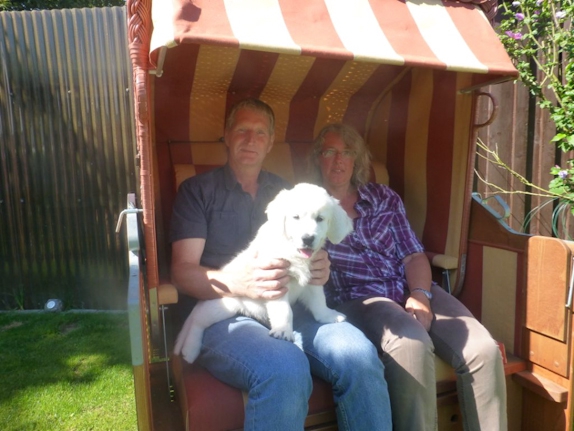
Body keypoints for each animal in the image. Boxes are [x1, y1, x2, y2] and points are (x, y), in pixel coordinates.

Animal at [174, 183, 354, 363]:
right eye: (295, 217)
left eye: (320, 219)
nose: (308, 239)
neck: (292, 252)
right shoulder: (276, 281)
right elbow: (284, 310)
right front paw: (283, 331)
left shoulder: (313, 278)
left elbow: (318, 301)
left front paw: (327, 315)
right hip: (223, 305)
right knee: (197, 320)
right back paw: (190, 349)